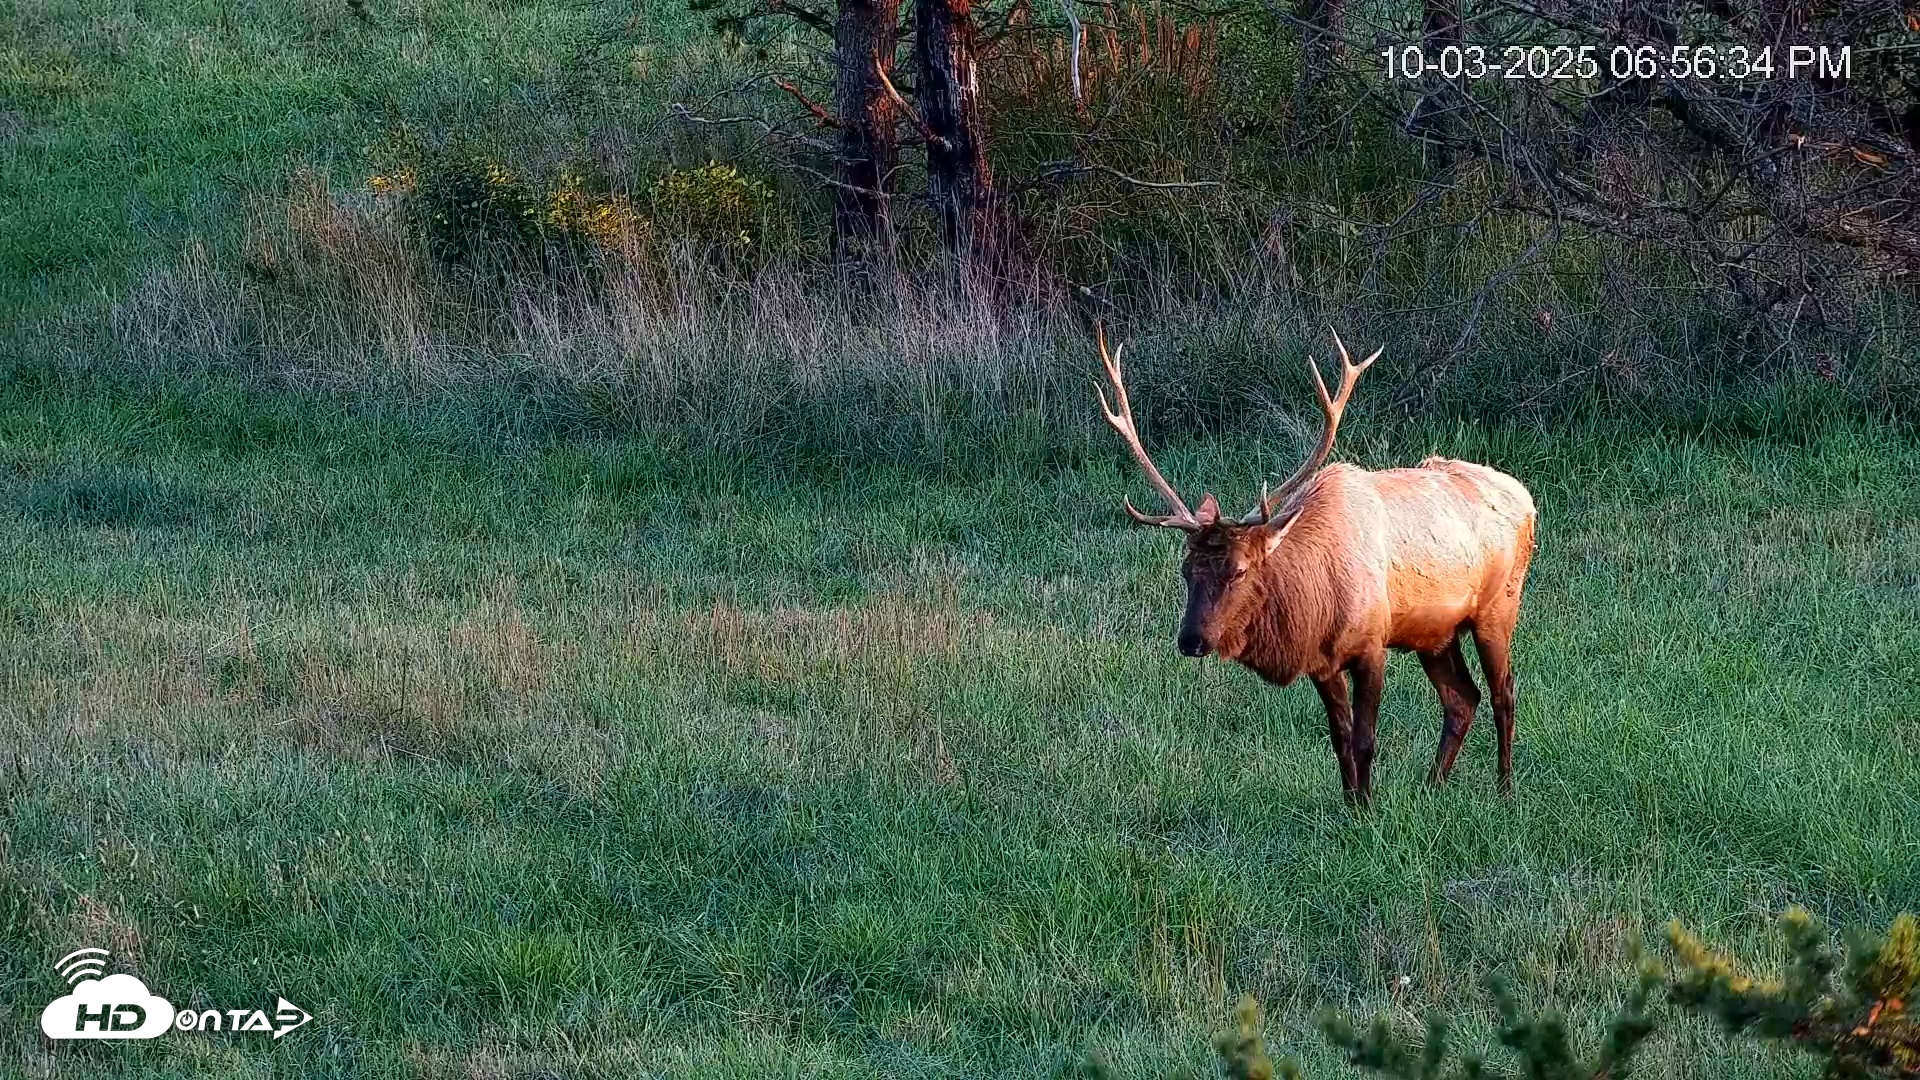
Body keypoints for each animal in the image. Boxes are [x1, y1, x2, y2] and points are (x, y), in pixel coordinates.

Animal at [1095, 326, 1537, 804]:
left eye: (1239, 570)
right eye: (1186, 571)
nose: (1191, 640)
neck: (1315, 603)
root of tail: (1526, 496)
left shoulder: (1372, 643)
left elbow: (1365, 740)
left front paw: (1368, 808)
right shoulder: (1321, 663)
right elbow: (1339, 739)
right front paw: (1351, 803)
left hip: (1498, 607)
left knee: (1503, 693)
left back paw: (1505, 787)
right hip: (1435, 632)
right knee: (1461, 698)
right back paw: (1431, 785)